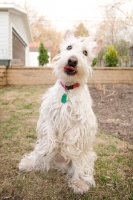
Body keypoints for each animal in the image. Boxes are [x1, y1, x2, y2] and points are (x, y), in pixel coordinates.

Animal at [18, 30, 102, 195]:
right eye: (69, 47)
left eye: (85, 52)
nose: (72, 61)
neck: (68, 90)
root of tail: (60, 165)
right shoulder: (48, 115)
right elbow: (49, 135)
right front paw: (51, 145)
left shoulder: (82, 122)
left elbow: (73, 136)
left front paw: (67, 149)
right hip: (42, 154)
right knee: (38, 157)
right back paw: (28, 164)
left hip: (85, 157)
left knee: (81, 169)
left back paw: (80, 183)